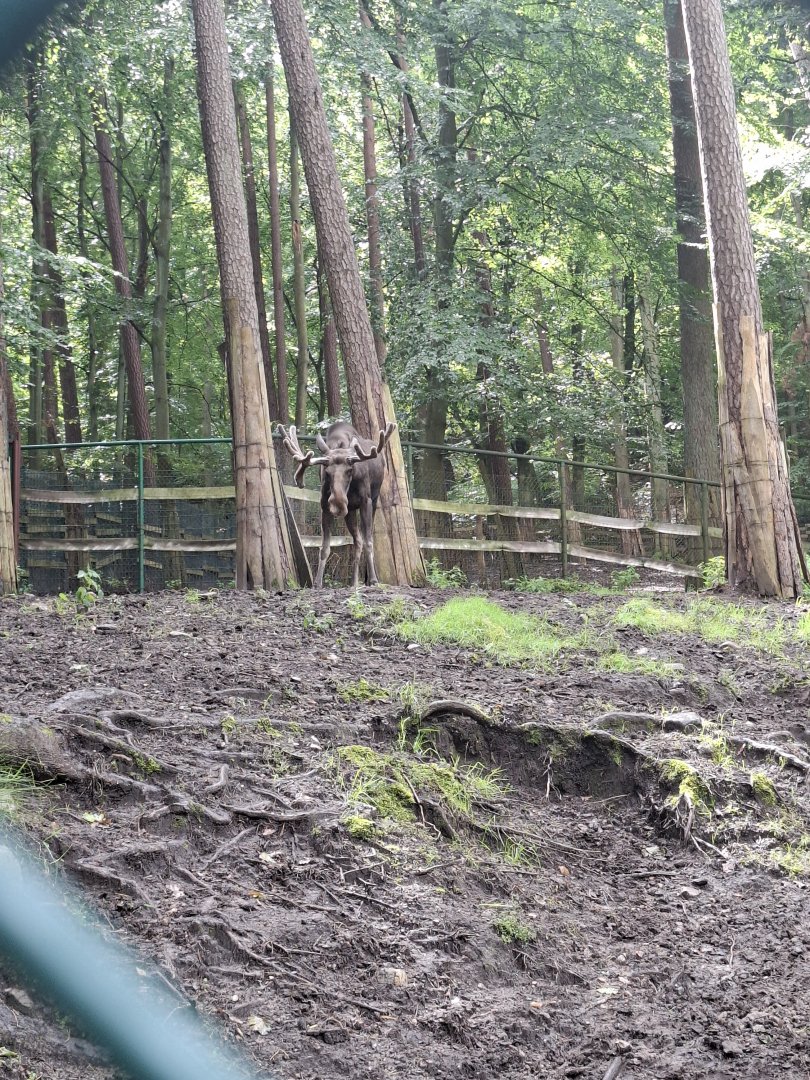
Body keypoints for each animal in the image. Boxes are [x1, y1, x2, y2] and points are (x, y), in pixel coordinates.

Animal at [278, 420, 396, 588]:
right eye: (327, 472)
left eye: (350, 470)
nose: (338, 503)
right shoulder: (324, 505)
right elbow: (325, 547)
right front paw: (317, 582)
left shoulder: (365, 501)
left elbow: (369, 542)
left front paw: (373, 580)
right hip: (351, 511)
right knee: (357, 540)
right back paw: (354, 582)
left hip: (372, 501)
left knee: (366, 538)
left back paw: (367, 579)